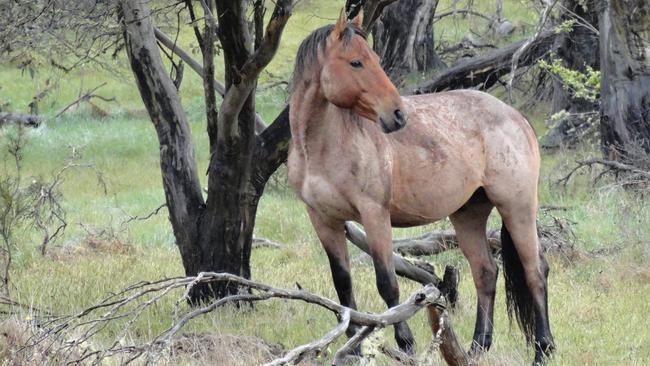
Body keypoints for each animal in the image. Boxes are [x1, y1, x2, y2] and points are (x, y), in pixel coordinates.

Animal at [286, 10, 556, 364]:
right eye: (356, 62)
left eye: (374, 58)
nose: (397, 114)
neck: (321, 146)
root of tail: (516, 117)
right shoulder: (323, 218)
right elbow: (342, 284)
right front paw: (353, 348)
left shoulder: (374, 214)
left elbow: (388, 284)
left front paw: (405, 344)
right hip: (468, 213)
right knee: (485, 271)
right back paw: (477, 347)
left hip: (517, 206)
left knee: (534, 270)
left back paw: (543, 349)